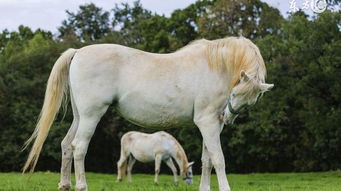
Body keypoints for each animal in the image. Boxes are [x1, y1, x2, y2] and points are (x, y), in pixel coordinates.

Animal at [22, 36, 274, 191]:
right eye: (237, 92)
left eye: (251, 100)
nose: (228, 118)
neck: (215, 66)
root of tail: (78, 52)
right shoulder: (208, 122)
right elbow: (219, 159)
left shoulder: (212, 124)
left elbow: (207, 160)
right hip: (91, 115)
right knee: (79, 147)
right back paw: (82, 186)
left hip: (79, 116)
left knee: (66, 145)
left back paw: (64, 185)